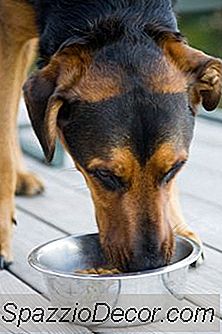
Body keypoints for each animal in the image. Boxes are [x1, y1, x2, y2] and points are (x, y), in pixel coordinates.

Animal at [0, 0, 222, 272]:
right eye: (104, 175)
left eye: (175, 168)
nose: (150, 264)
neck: (122, 13)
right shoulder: (7, 30)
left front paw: (180, 227)